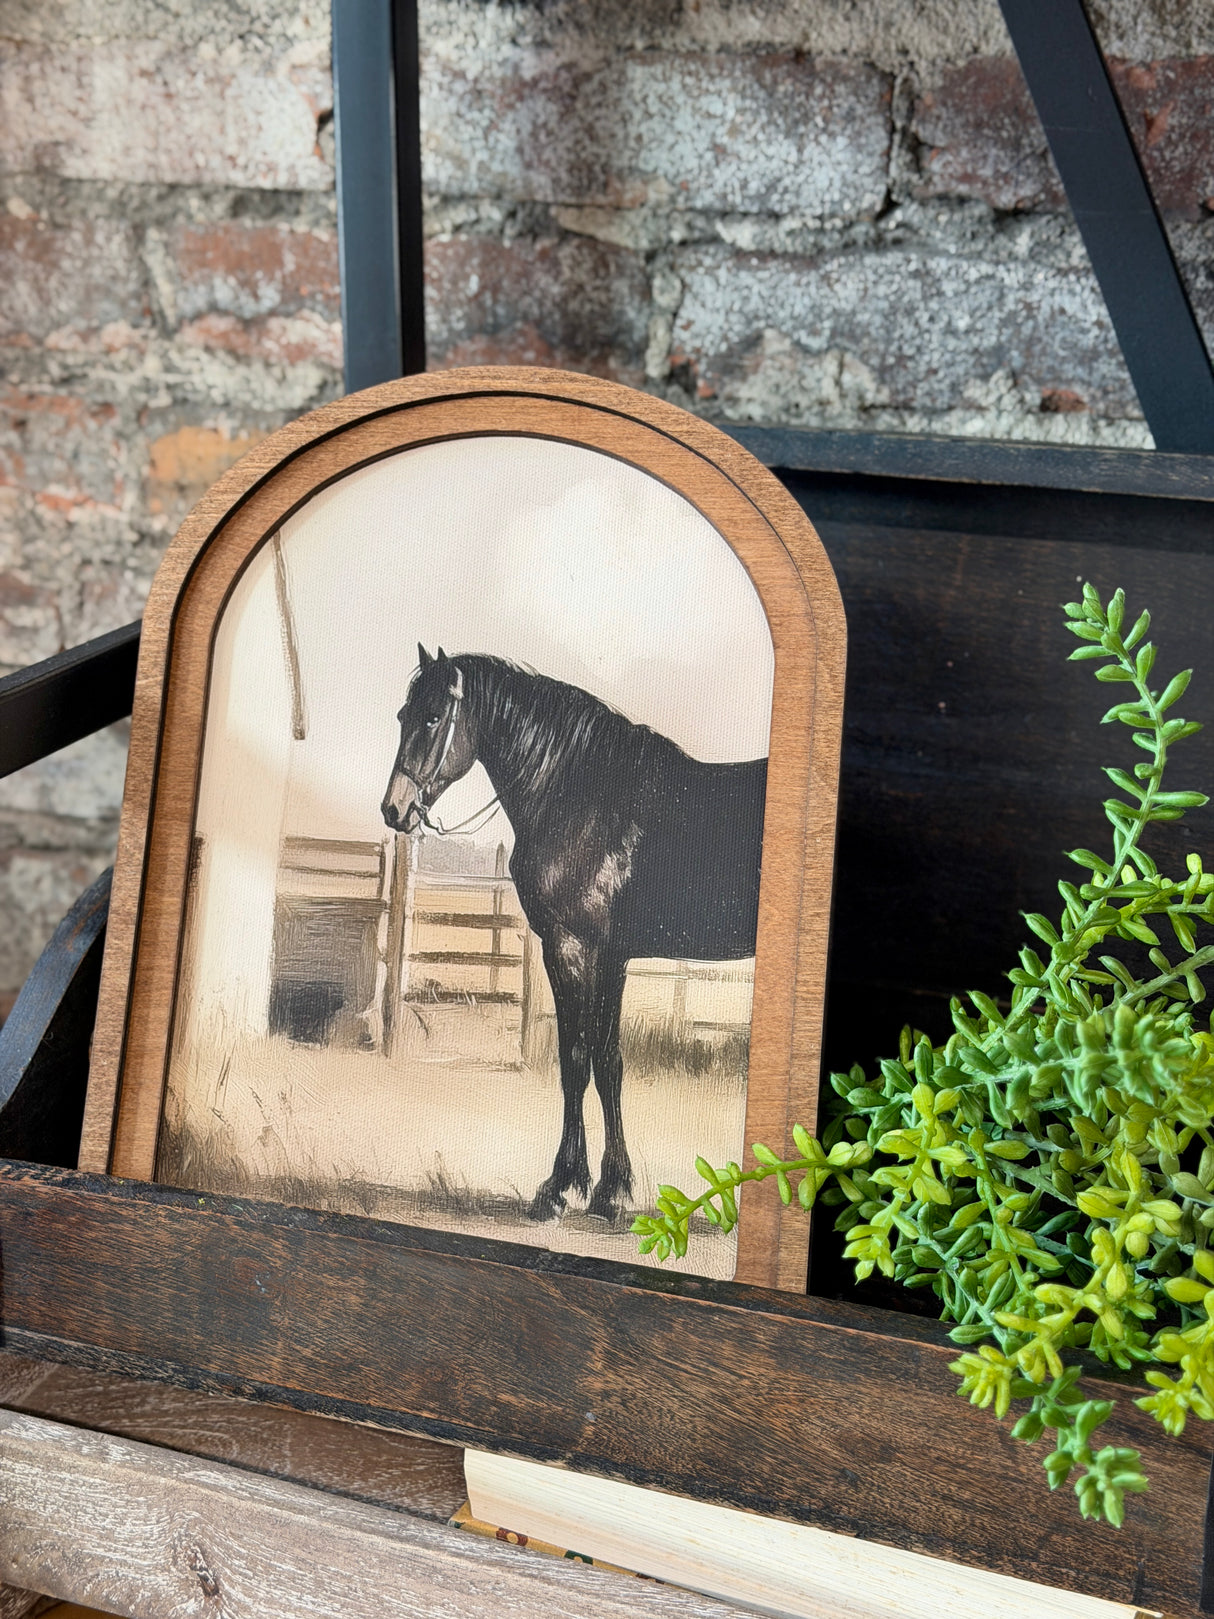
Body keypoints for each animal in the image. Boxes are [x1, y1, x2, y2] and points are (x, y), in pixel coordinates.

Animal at [381, 647, 767, 1223]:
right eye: (403, 715)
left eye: (431, 718)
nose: (394, 809)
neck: (583, 797)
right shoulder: (610, 957)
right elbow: (608, 1064)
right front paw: (611, 1189)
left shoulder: (569, 948)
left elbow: (576, 1062)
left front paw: (559, 1188)